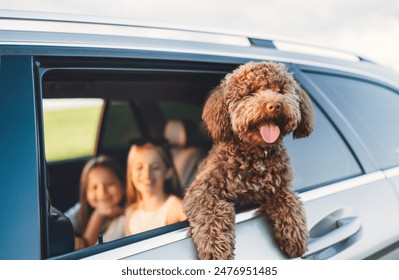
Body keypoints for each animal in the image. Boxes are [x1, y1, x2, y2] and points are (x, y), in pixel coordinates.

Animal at [183, 61, 314, 260]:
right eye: (251, 92)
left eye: (281, 90)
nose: (274, 105)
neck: (256, 155)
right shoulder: (201, 191)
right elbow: (211, 211)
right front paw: (216, 249)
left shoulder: (279, 185)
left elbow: (288, 198)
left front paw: (294, 234)